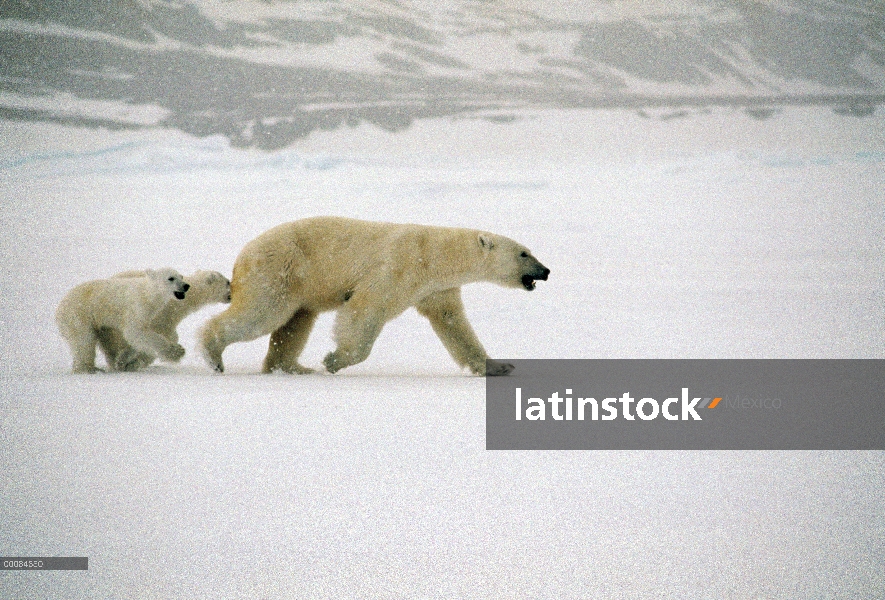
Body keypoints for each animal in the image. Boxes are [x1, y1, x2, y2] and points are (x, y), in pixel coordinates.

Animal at [199, 216, 544, 376]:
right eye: (524, 253)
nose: (546, 271)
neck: (434, 255)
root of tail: (243, 254)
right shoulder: (397, 268)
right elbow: (364, 311)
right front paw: (334, 360)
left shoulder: (436, 289)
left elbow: (453, 324)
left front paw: (499, 367)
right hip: (279, 270)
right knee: (262, 313)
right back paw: (213, 356)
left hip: (298, 284)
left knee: (296, 322)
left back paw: (291, 367)